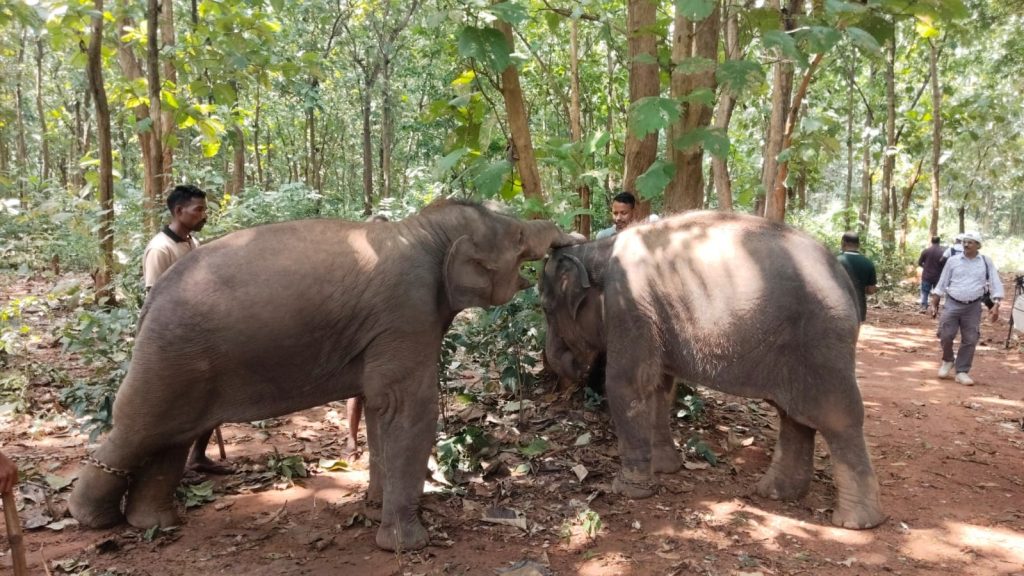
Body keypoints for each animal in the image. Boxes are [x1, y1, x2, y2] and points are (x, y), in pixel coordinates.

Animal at [69, 199, 579, 551]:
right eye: (518, 235)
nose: (568, 243)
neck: (420, 227)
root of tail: (152, 294)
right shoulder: (407, 312)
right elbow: (407, 407)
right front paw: (409, 544)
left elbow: (378, 407)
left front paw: (374, 508)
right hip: (170, 355)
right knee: (138, 428)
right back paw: (91, 518)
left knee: (169, 436)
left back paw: (153, 524)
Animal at [539, 211, 886, 530]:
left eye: (544, 307)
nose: (577, 367)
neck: (598, 250)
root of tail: (843, 277)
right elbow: (660, 387)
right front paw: (665, 469)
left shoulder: (630, 307)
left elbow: (628, 384)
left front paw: (628, 490)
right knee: (794, 415)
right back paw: (774, 494)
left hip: (822, 343)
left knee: (838, 418)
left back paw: (856, 523)